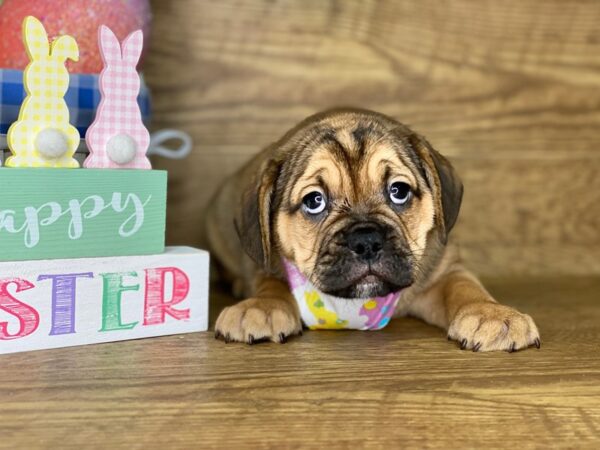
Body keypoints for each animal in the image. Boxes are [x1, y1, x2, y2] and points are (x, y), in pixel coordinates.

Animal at [205, 108, 540, 352]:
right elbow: (272, 283)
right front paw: (261, 306)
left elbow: (463, 287)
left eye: (399, 191)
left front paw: (492, 314)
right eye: (314, 201)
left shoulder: (443, 271)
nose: (366, 241)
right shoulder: (268, 265)